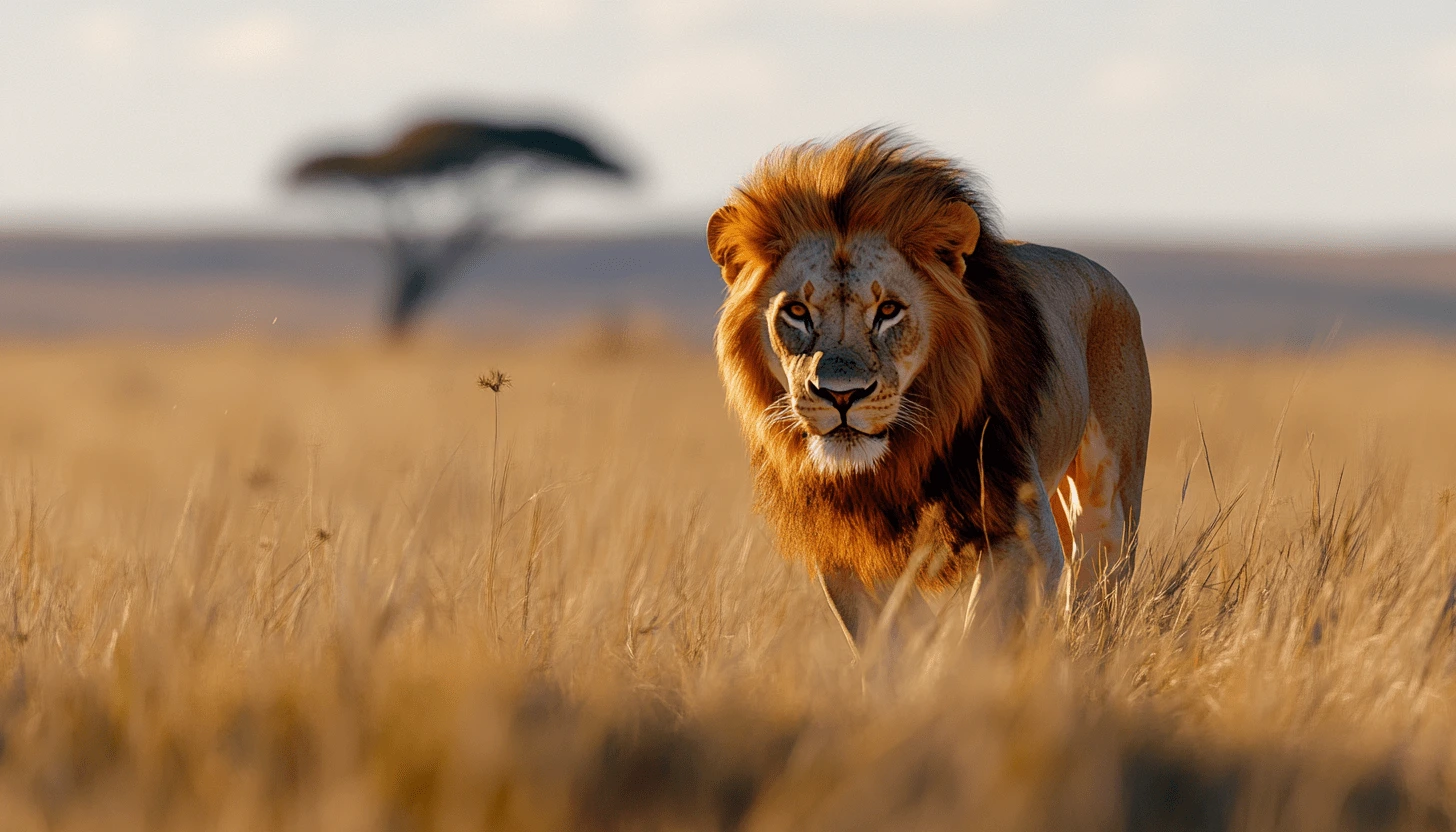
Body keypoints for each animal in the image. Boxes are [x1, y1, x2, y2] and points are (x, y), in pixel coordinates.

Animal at [701, 130, 1147, 655]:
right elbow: (892, 643)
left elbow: (982, 638)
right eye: (796, 312)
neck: (894, 463)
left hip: (1109, 502)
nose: (841, 395)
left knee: (1098, 588)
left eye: (888, 310)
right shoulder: (845, 549)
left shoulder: (1024, 531)